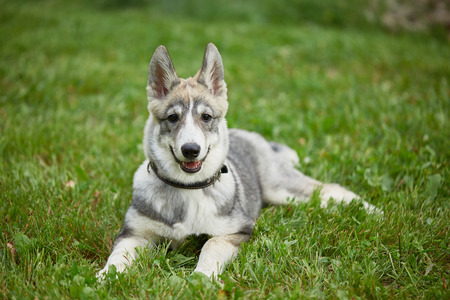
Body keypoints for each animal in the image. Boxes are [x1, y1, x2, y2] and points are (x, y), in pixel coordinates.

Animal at [98, 43, 376, 280]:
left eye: (206, 117)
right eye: (173, 118)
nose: (191, 150)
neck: (187, 189)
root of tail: (253, 135)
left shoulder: (237, 230)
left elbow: (211, 244)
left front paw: (201, 278)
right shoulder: (134, 233)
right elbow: (118, 255)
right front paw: (106, 277)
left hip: (282, 188)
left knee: (329, 189)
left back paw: (371, 210)